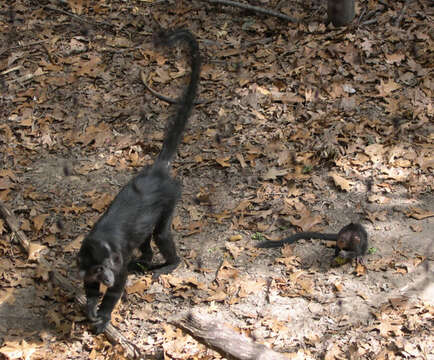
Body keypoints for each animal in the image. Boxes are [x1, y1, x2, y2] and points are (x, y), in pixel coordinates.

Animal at [77, 29, 200, 334]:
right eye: (98, 269)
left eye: (109, 265)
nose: (107, 276)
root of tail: (155, 173)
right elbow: (89, 286)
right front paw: (90, 305)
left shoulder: (118, 259)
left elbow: (117, 288)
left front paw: (104, 314)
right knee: (145, 235)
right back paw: (144, 259)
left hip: (171, 194)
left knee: (161, 233)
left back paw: (169, 263)